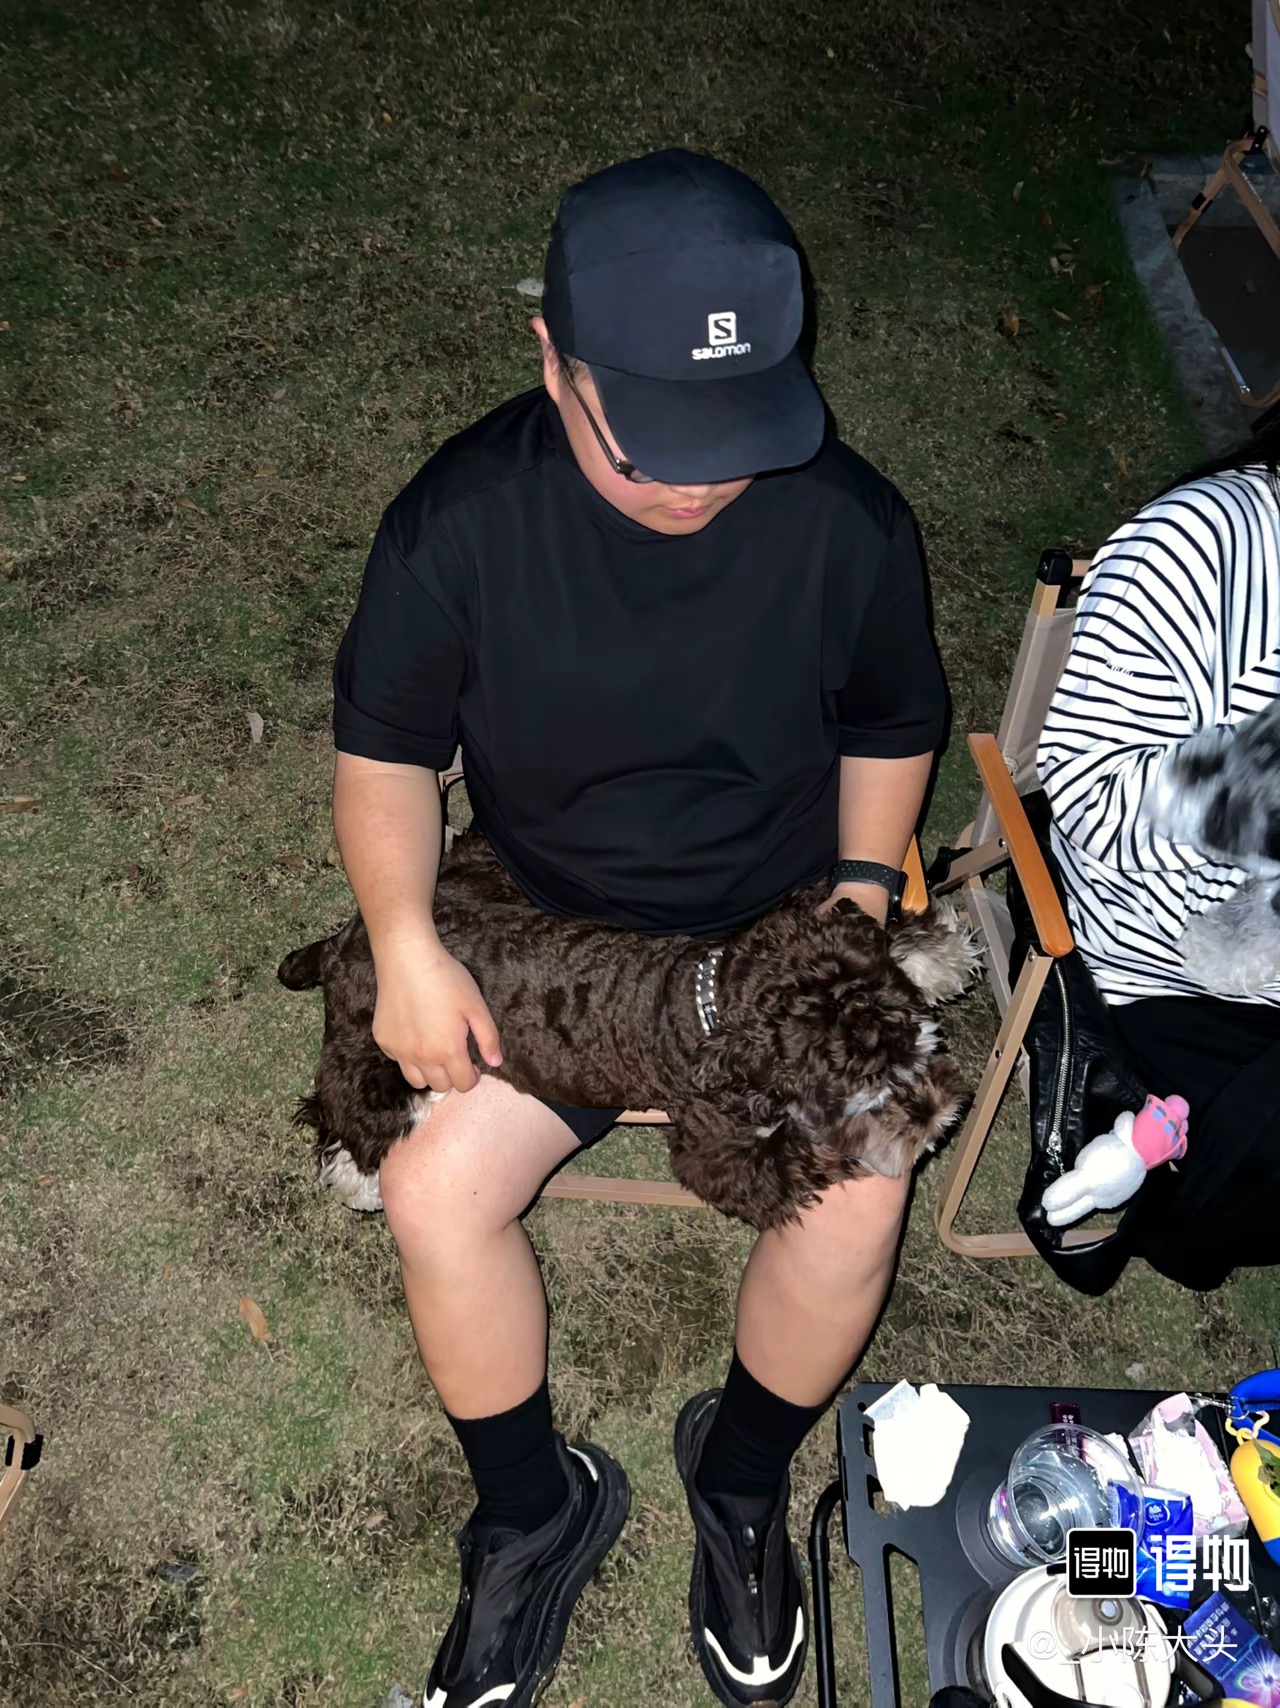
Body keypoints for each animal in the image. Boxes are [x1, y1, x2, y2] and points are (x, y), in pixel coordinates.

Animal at [279, 832, 974, 1230]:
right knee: (342, 1105)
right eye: (856, 1087)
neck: (707, 997)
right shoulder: (719, 1159)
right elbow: (807, 1154)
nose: (943, 1111)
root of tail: (346, 940)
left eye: (915, 1037)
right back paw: (360, 1177)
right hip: (374, 1044)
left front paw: (935, 954)